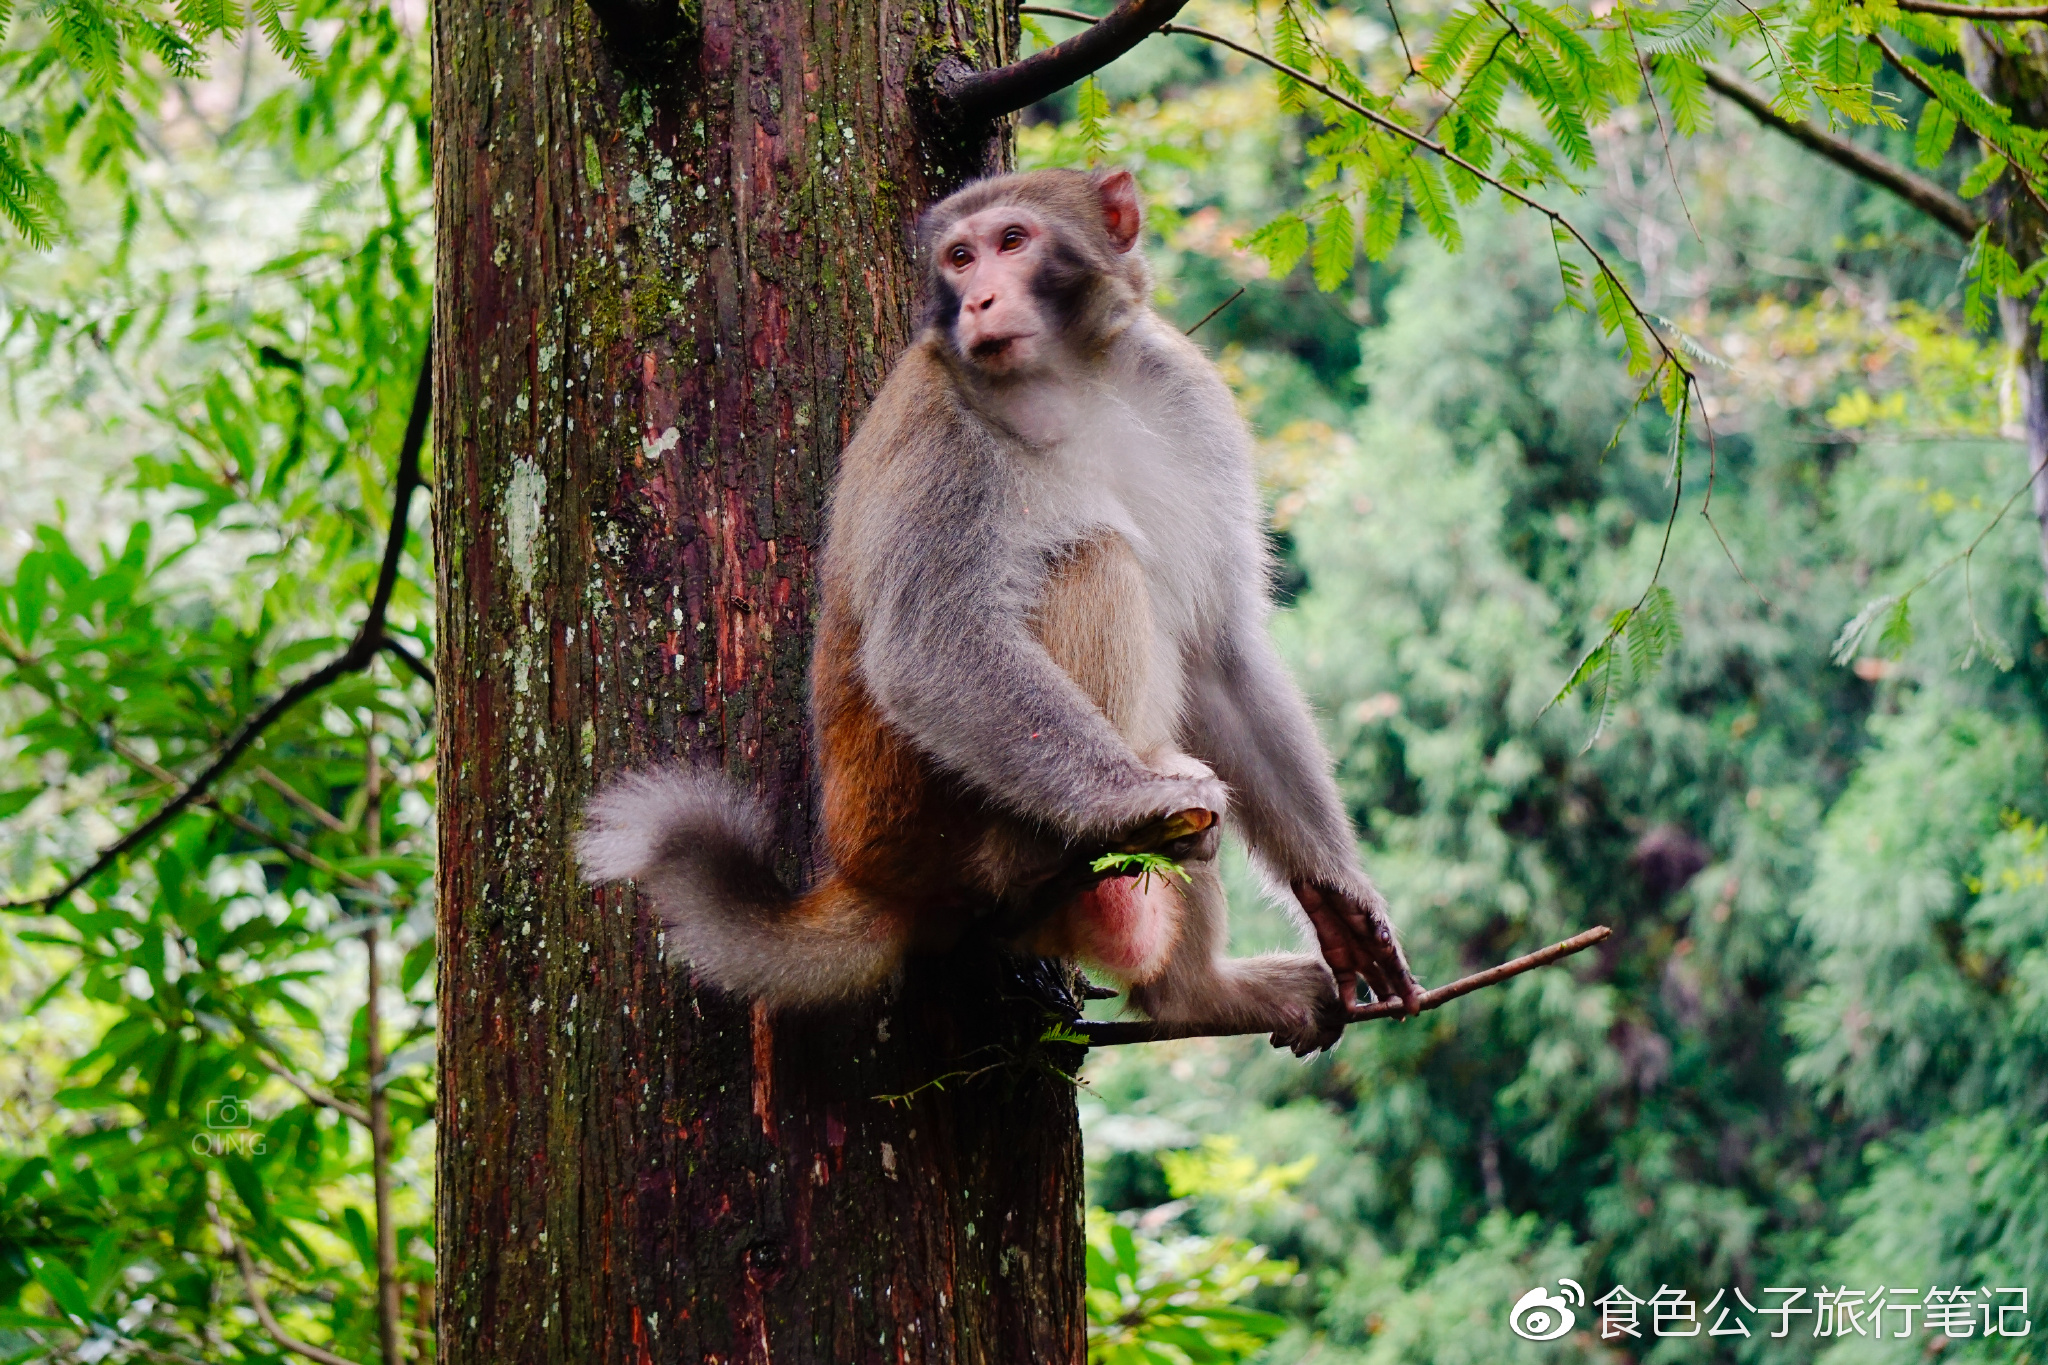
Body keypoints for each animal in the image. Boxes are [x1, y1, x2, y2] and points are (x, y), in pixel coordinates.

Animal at [569, 162, 1417, 1055]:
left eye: (1012, 241)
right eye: (960, 257)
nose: (977, 298)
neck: (1072, 383)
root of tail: (870, 875)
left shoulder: (1188, 399)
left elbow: (1221, 653)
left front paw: (1342, 901)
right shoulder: (940, 435)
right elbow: (931, 650)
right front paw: (1132, 801)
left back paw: (1194, 992)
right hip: (941, 829)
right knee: (1095, 560)